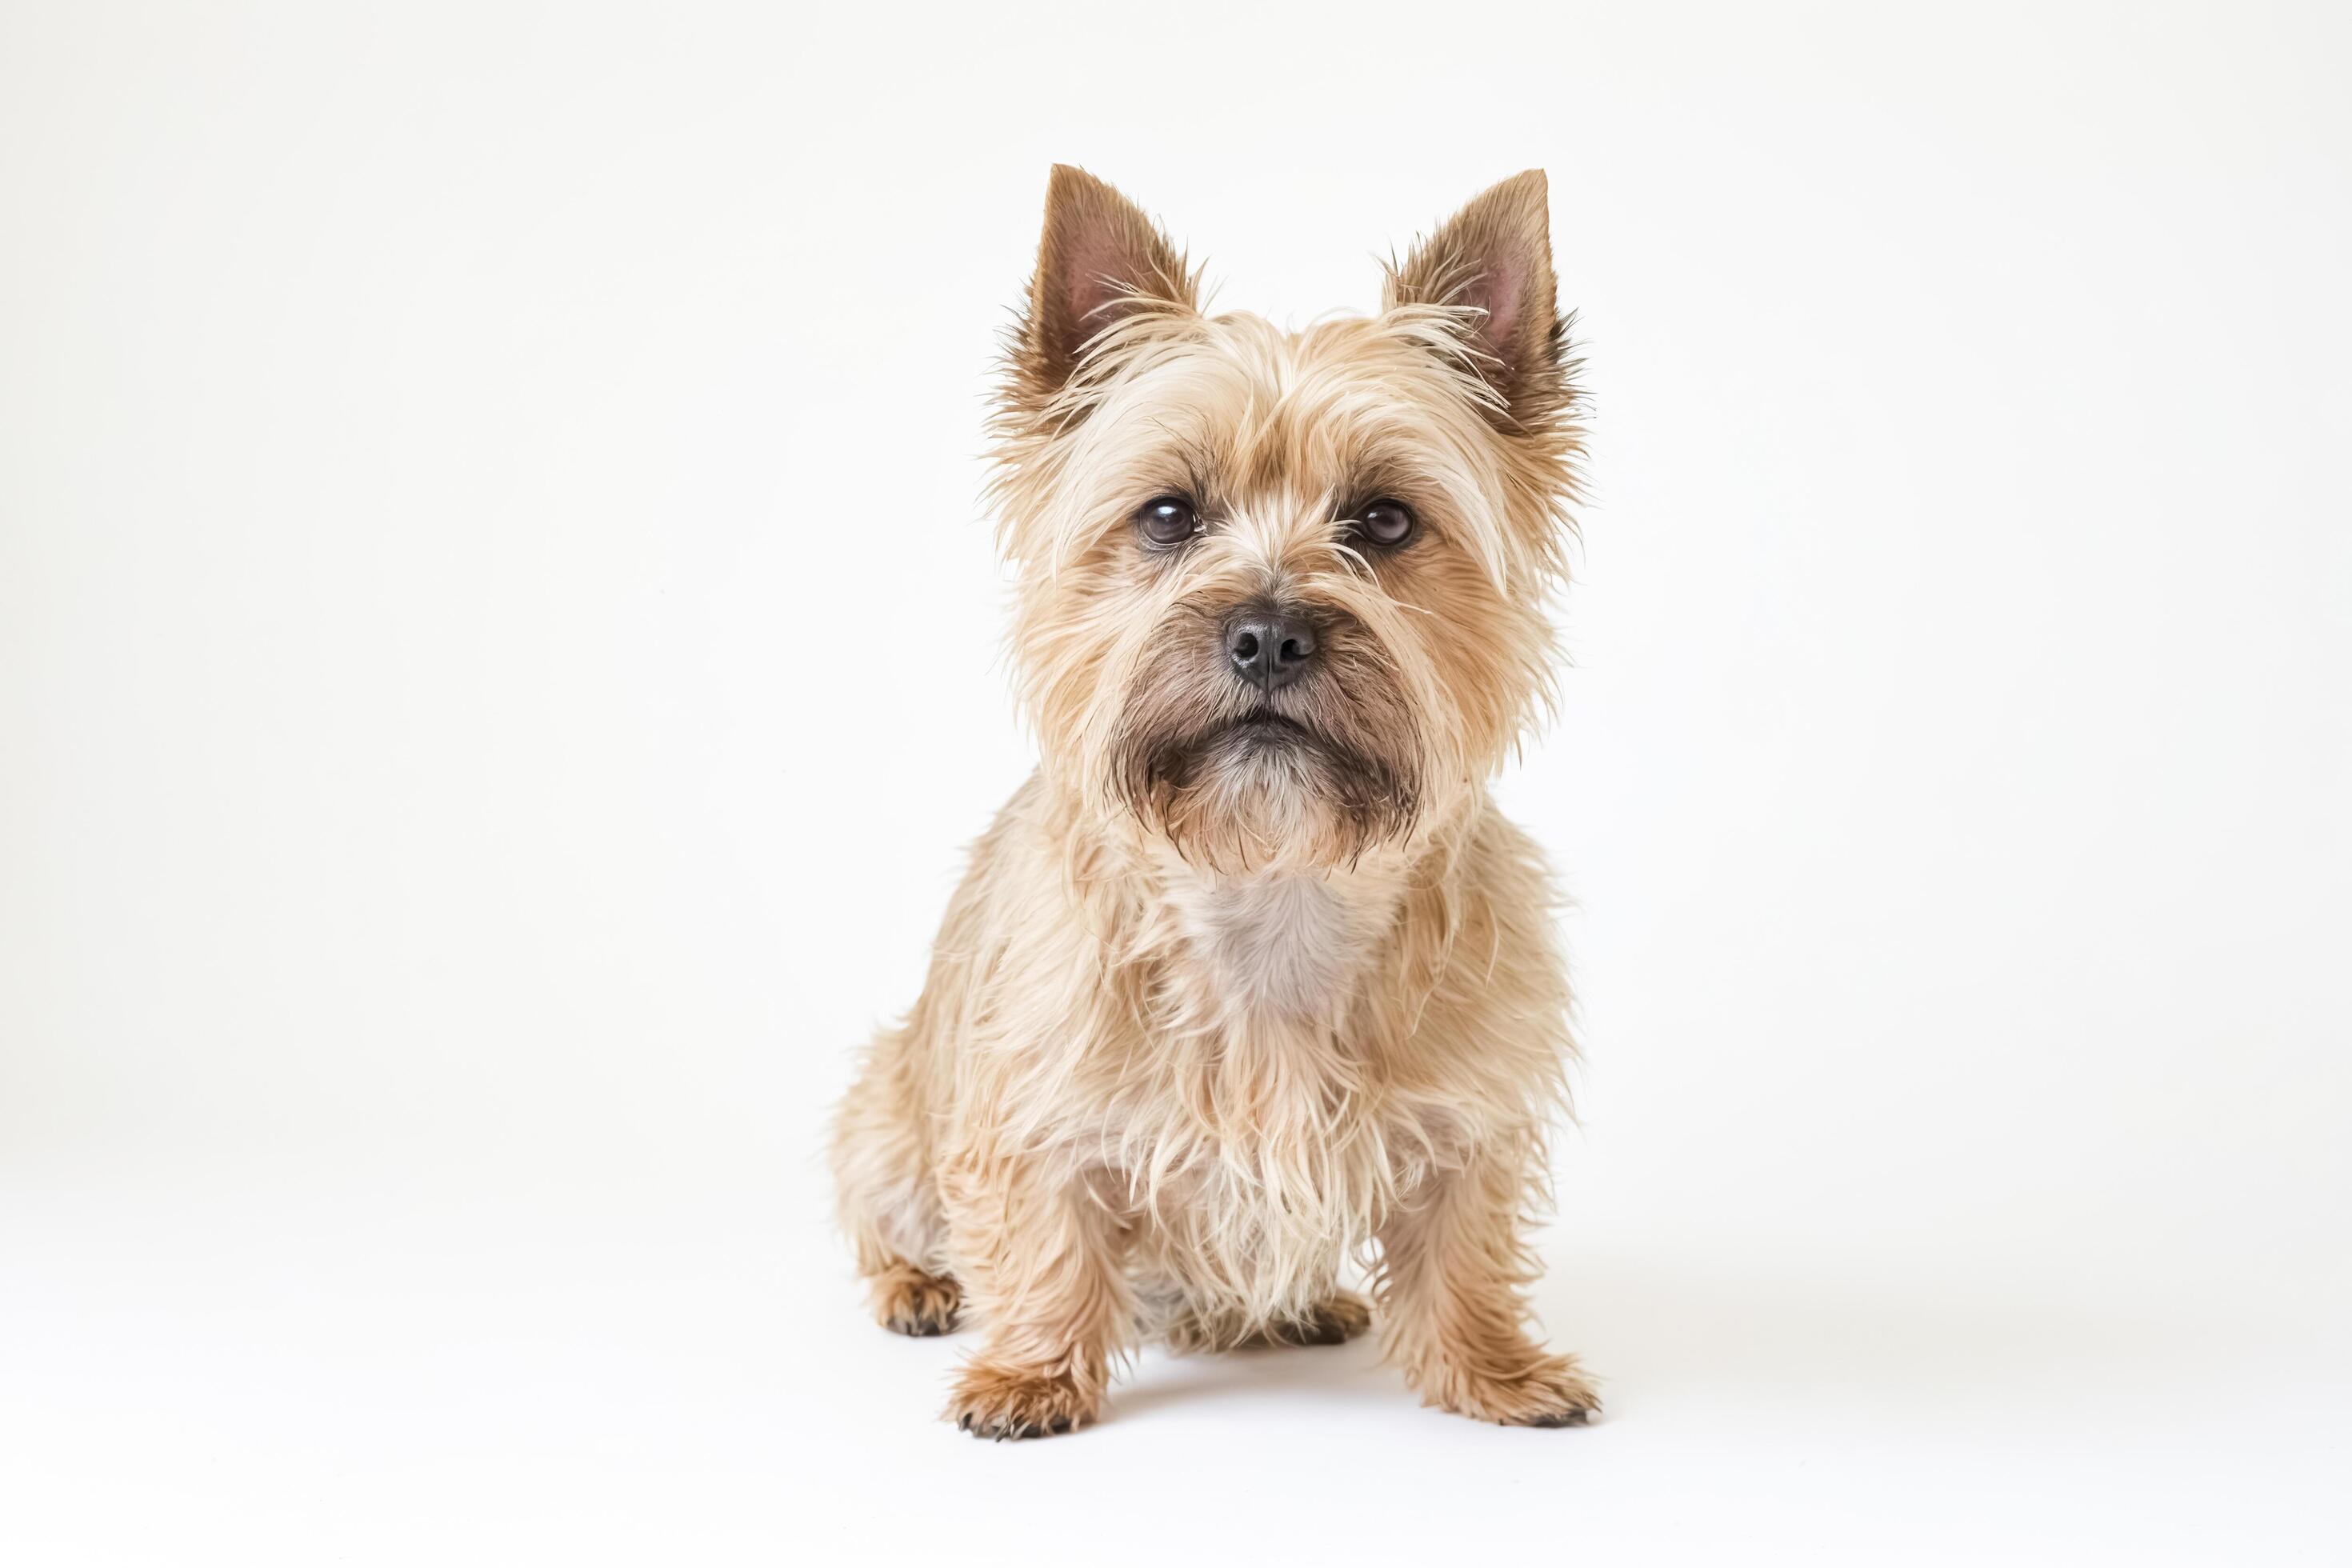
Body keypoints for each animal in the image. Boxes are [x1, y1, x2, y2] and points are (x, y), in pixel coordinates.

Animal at [832, 169, 1599, 1438]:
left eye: (1387, 520)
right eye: (1167, 516)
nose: (1270, 631)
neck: (1271, 884)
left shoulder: (1471, 1114)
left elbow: (1466, 1242)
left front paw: (1493, 1368)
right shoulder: (1024, 1109)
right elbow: (1043, 1234)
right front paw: (1031, 1373)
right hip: (891, 1106)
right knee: (881, 1209)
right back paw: (919, 1285)